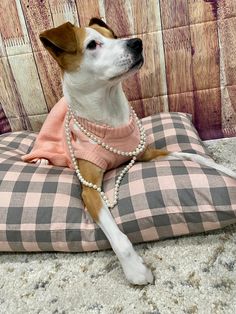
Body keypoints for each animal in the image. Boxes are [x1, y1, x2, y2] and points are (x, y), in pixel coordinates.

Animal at [23, 18, 236, 286]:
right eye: (92, 44)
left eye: (113, 36)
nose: (137, 43)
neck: (110, 117)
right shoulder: (89, 190)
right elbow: (118, 238)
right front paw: (136, 270)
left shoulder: (147, 153)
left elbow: (194, 155)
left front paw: (228, 171)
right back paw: (40, 159)